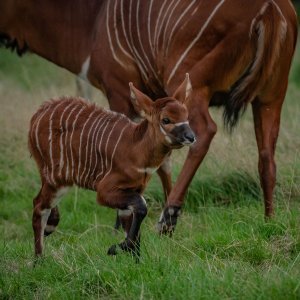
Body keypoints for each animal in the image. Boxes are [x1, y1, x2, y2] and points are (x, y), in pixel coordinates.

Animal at [29, 75, 196, 258]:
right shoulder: (104, 191)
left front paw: (130, 255)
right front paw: (117, 248)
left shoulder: (133, 191)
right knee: (39, 206)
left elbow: (133, 223)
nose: (191, 137)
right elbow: (141, 207)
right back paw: (39, 259)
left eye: (186, 115)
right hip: (56, 180)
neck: (135, 147)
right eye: (166, 119)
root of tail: (37, 115)